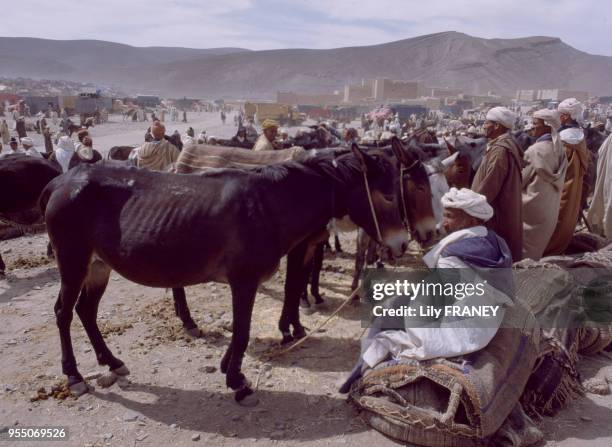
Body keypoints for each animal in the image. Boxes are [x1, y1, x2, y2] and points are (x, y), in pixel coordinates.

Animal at [40, 146, 408, 406]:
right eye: (388, 195)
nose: (402, 244)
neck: (268, 205)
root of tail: (61, 181)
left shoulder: (244, 282)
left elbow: (240, 330)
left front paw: (227, 367)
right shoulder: (244, 280)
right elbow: (242, 331)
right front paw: (238, 383)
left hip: (98, 266)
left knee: (86, 311)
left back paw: (112, 362)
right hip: (74, 262)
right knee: (63, 313)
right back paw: (74, 376)